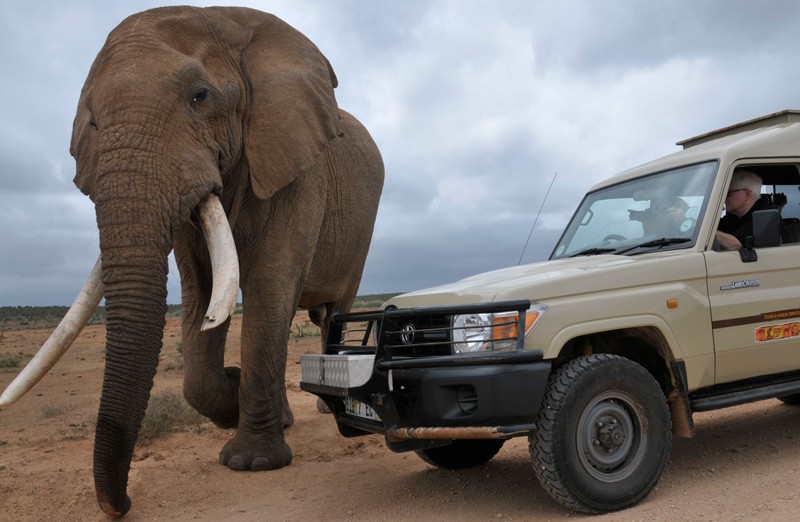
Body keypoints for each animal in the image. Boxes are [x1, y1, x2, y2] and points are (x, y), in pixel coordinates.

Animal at [0, 6, 383, 518]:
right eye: (92, 120)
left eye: (200, 97)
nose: (121, 504)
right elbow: (201, 292)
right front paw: (234, 400)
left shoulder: (296, 165)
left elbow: (269, 284)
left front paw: (252, 462)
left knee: (332, 309)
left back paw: (326, 407)